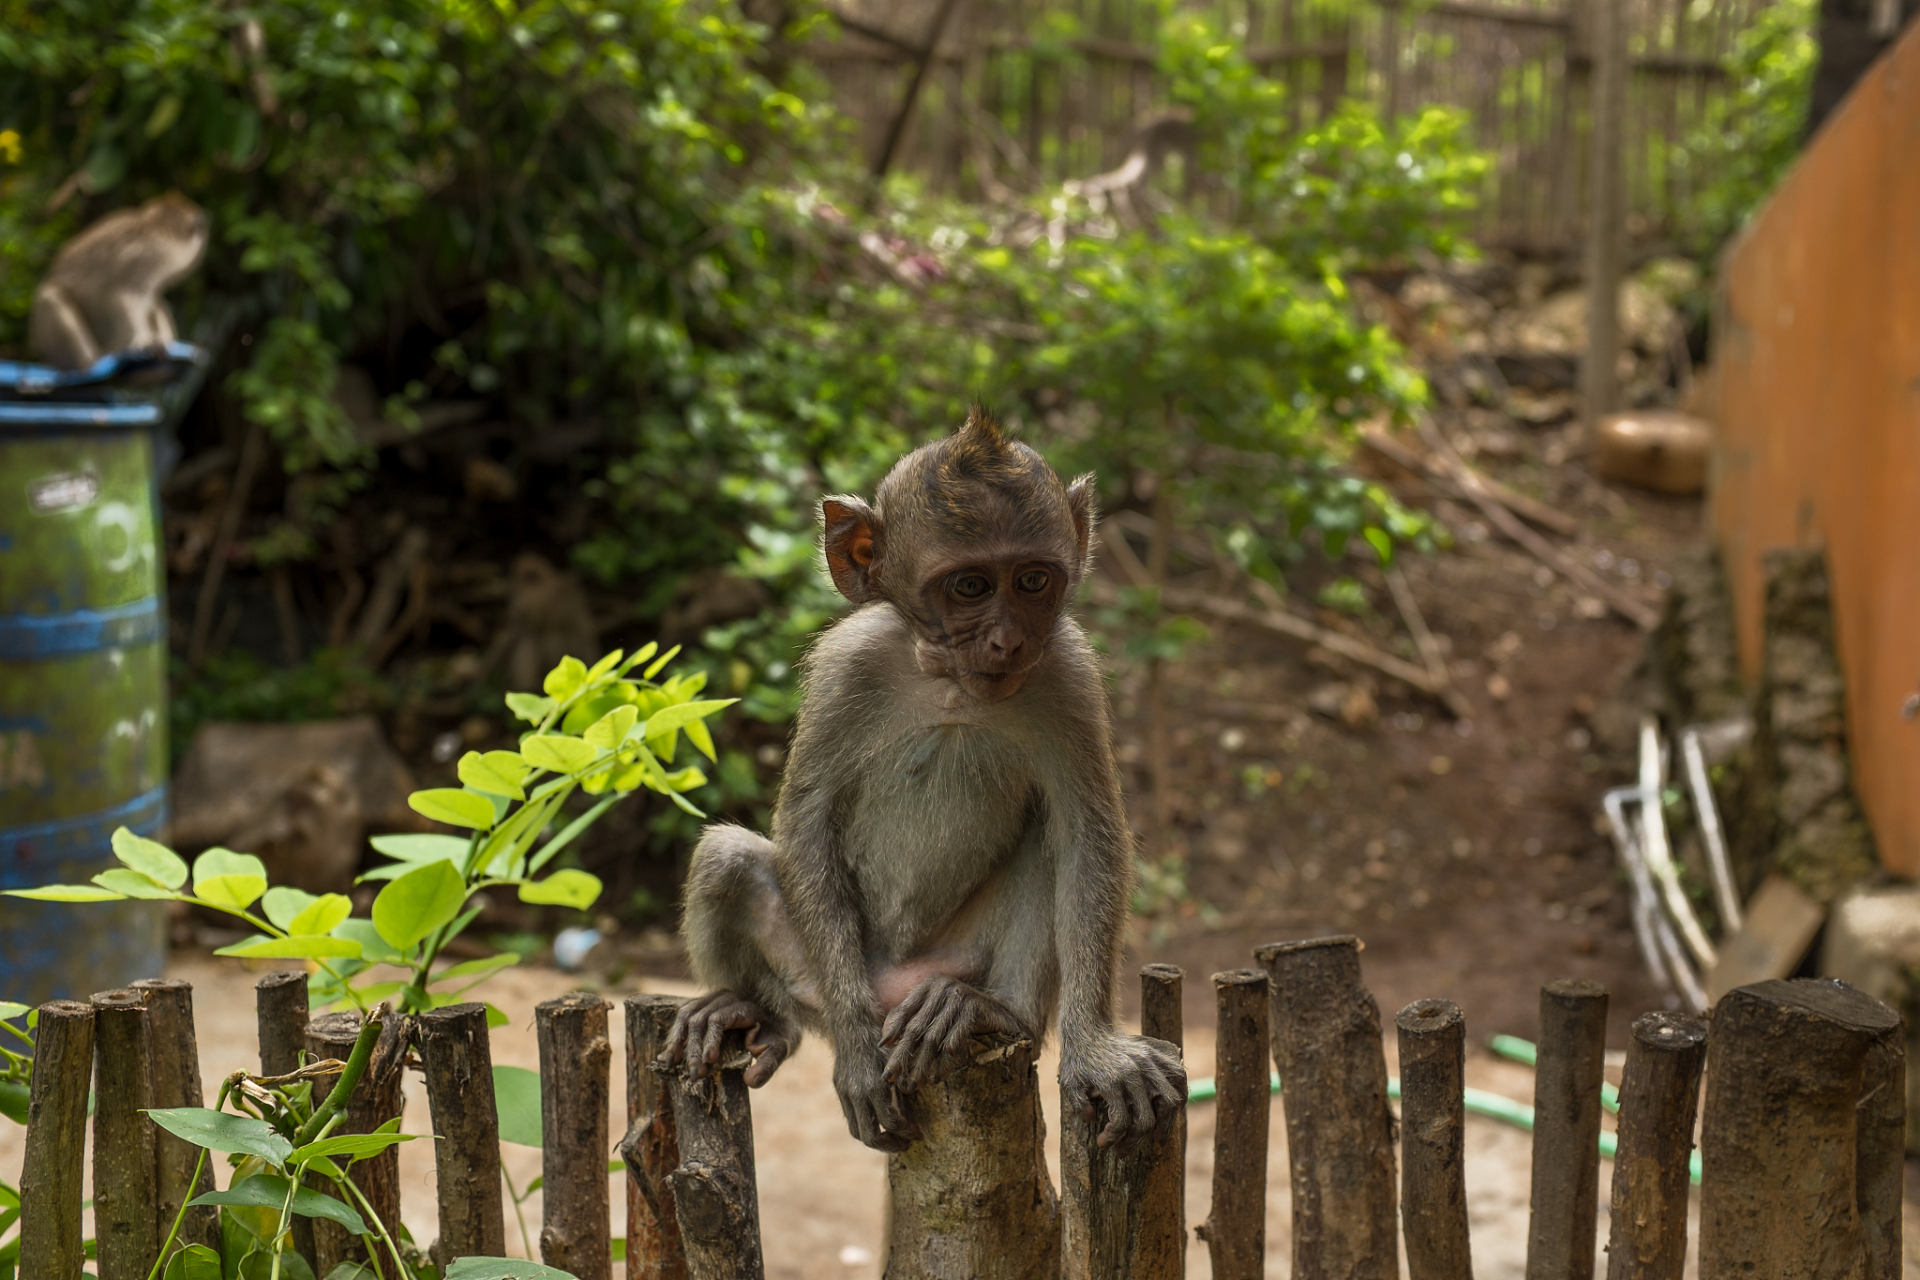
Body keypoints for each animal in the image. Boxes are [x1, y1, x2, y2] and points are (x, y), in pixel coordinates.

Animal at [28, 189, 209, 372]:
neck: (159, 226)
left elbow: (151, 300)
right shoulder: (152, 255)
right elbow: (122, 293)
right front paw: (142, 340)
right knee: (50, 297)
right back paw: (92, 361)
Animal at [672, 408, 1182, 1151]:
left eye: (1033, 581)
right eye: (970, 586)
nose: (1007, 642)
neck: (948, 681)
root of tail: (894, 991)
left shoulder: (1068, 672)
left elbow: (1088, 837)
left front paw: (1095, 1047)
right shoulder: (846, 665)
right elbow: (805, 821)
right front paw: (859, 1060)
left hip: (956, 957)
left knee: (1047, 846)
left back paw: (988, 1012)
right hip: (819, 976)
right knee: (728, 856)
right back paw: (758, 1017)